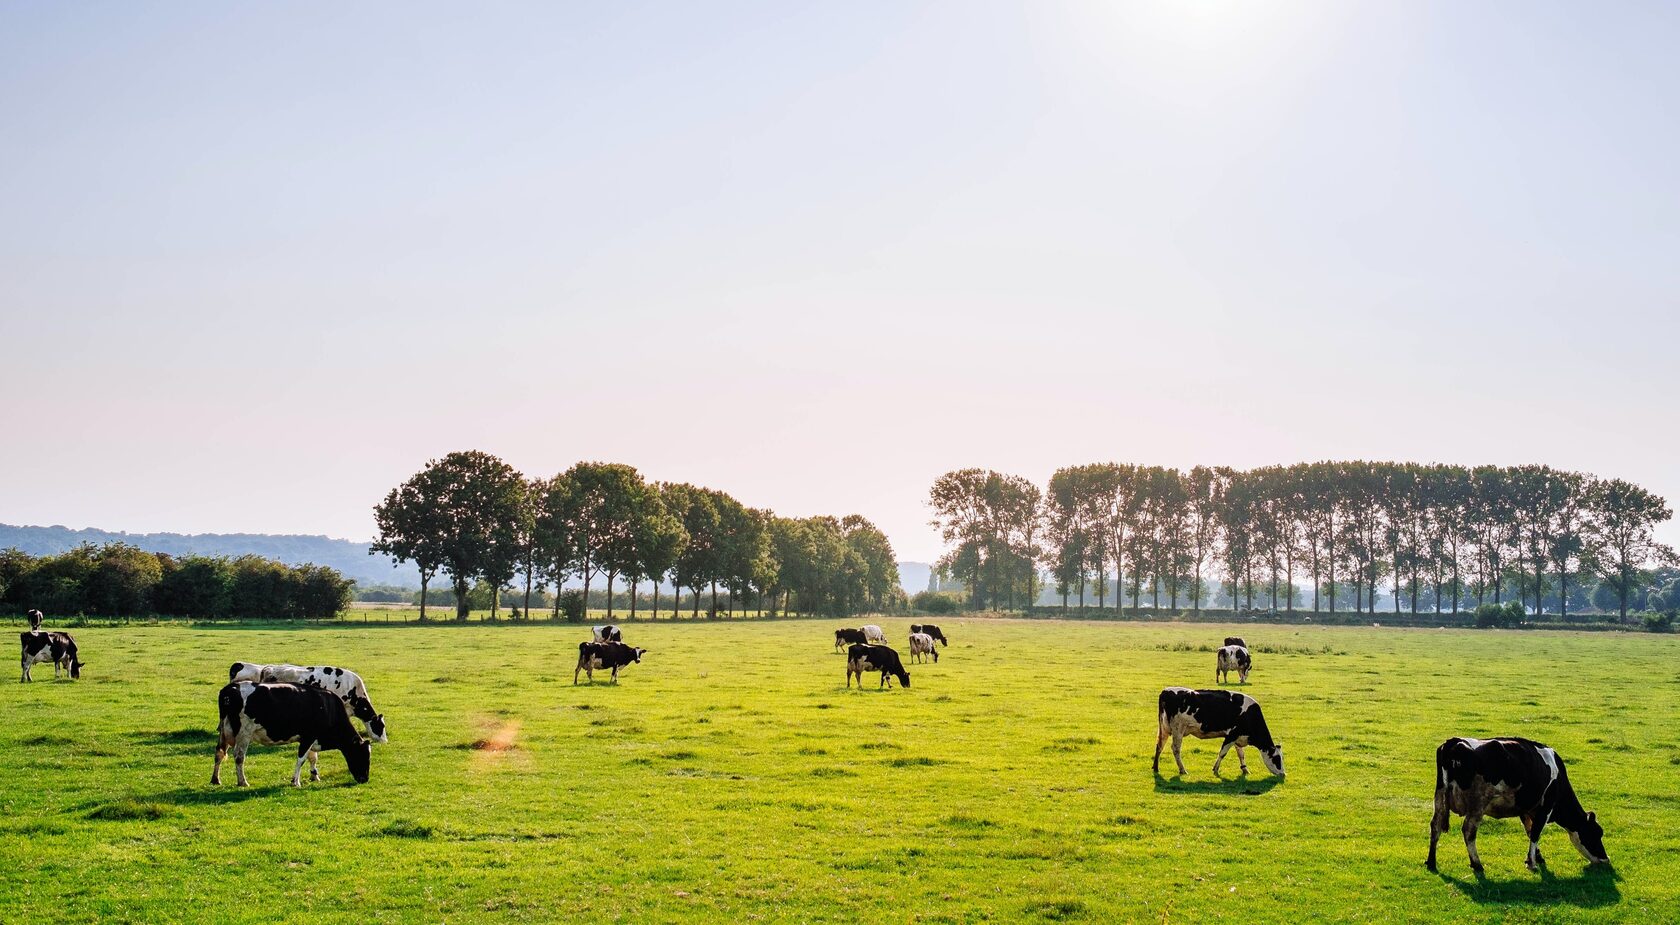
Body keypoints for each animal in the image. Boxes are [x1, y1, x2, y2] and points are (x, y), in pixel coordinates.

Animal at [211, 684, 369, 785]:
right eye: (363, 755)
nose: (365, 779)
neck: (328, 708)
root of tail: (229, 688)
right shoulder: (309, 736)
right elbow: (301, 759)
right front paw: (296, 782)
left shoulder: (310, 739)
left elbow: (312, 758)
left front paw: (314, 776)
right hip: (244, 732)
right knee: (239, 756)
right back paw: (242, 781)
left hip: (223, 731)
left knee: (219, 752)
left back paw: (215, 780)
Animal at [1155, 688, 1283, 782]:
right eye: (1277, 759)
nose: (1283, 774)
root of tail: (1166, 691)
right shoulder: (1231, 735)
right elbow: (1222, 753)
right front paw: (1215, 769)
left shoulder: (1238, 737)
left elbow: (1241, 754)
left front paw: (1245, 770)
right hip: (1178, 730)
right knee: (1175, 749)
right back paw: (1182, 770)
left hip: (1164, 729)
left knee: (1159, 745)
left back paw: (1155, 768)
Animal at [1424, 738, 1606, 872]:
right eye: (1596, 833)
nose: (1606, 859)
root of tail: (1454, 742)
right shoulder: (1546, 807)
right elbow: (1536, 833)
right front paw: (1532, 863)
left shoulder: (1525, 809)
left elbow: (1529, 830)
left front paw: (1536, 857)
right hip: (1477, 804)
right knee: (1468, 831)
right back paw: (1477, 864)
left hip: (1439, 797)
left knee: (1435, 826)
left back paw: (1431, 862)